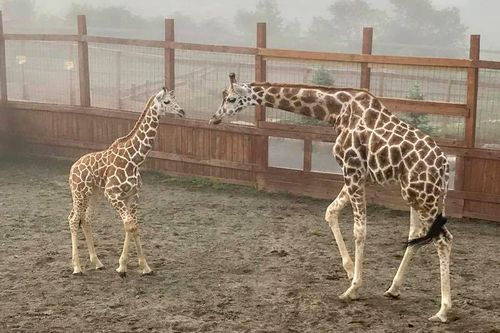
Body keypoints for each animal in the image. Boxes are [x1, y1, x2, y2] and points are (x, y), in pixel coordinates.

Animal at [67, 87, 184, 276]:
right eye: (166, 102)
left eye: (175, 99)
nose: (182, 111)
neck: (134, 160)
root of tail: (73, 168)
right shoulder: (113, 194)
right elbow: (130, 225)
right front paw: (127, 266)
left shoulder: (133, 195)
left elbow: (132, 225)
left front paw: (138, 266)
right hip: (79, 193)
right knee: (73, 219)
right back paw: (77, 267)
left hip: (94, 194)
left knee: (86, 219)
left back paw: (97, 262)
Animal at [209, 73, 452, 322]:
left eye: (230, 98)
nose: (214, 118)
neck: (336, 111)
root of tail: (444, 167)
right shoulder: (359, 176)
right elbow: (330, 212)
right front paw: (349, 270)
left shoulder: (352, 170)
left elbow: (359, 231)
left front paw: (353, 289)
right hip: (416, 195)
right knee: (417, 234)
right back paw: (394, 289)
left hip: (424, 197)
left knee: (444, 240)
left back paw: (443, 310)